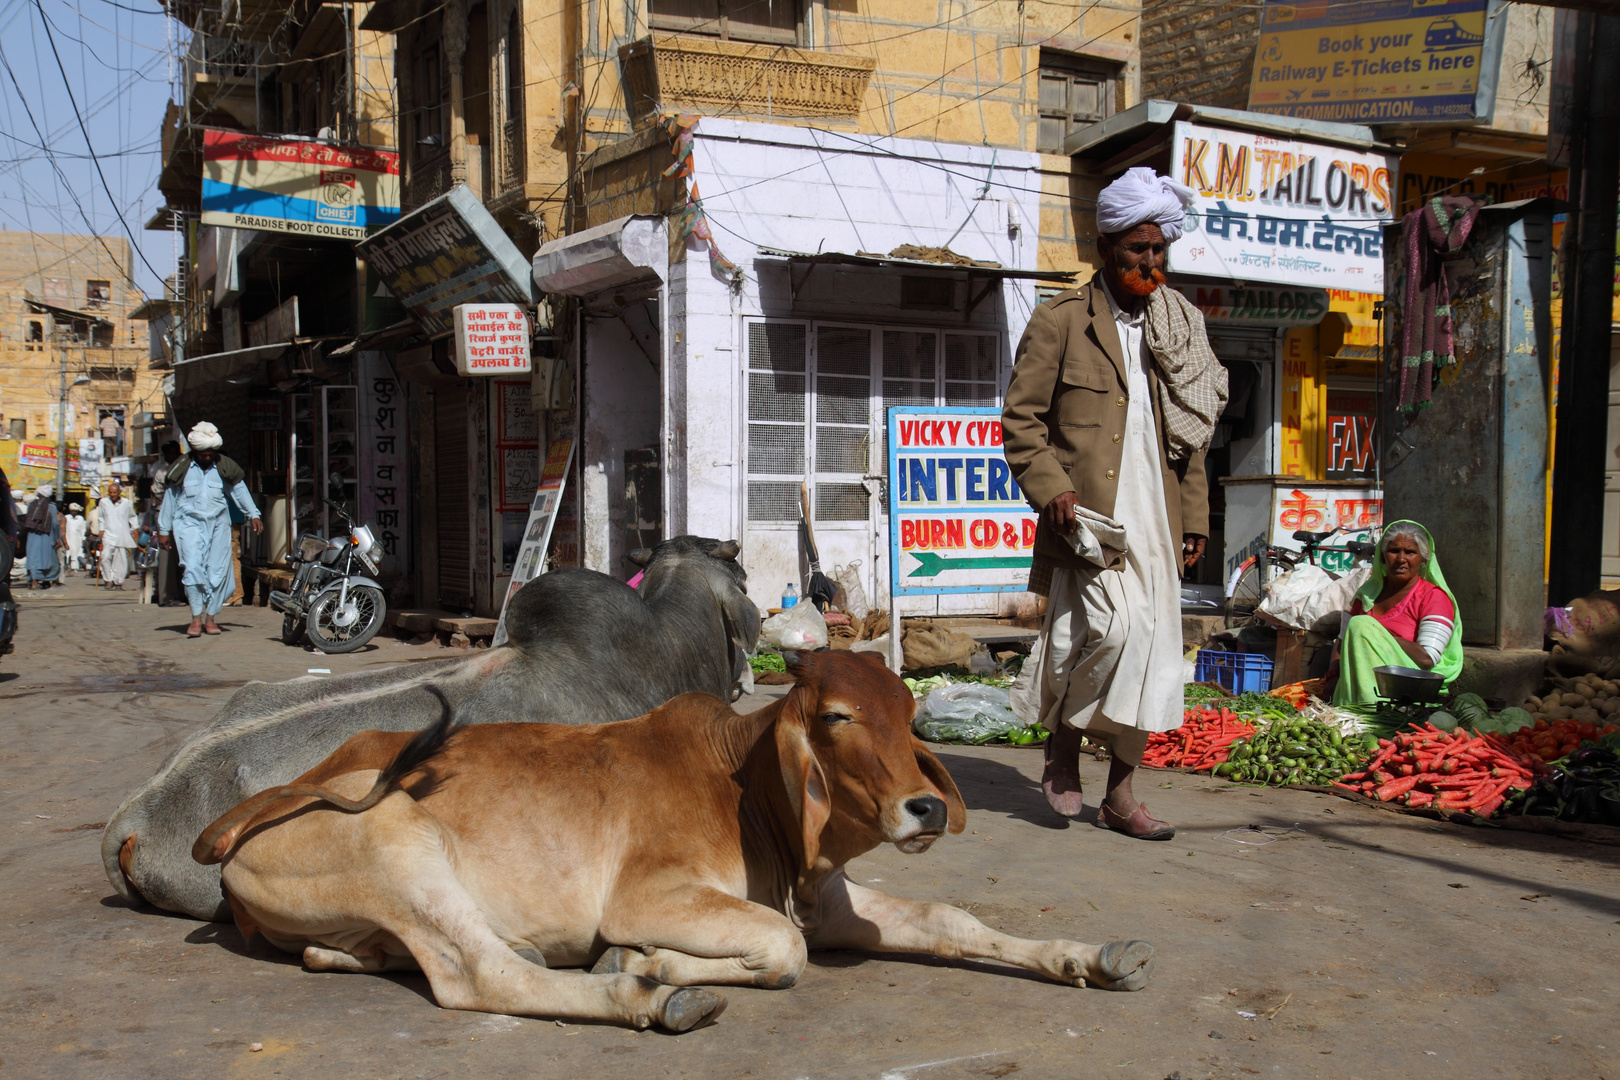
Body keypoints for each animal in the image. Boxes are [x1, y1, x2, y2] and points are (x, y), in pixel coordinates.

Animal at [192, 647, 1153, 1036]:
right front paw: (647, 963)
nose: (921, 807)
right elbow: (786, 948)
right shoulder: (650, 894)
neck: (745, 788)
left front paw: (1086, 956)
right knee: (482, 976)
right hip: (395, 838)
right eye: (838, 717)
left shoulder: (832, 899)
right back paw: (649, 999)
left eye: (907, 714)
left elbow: (952, 921)